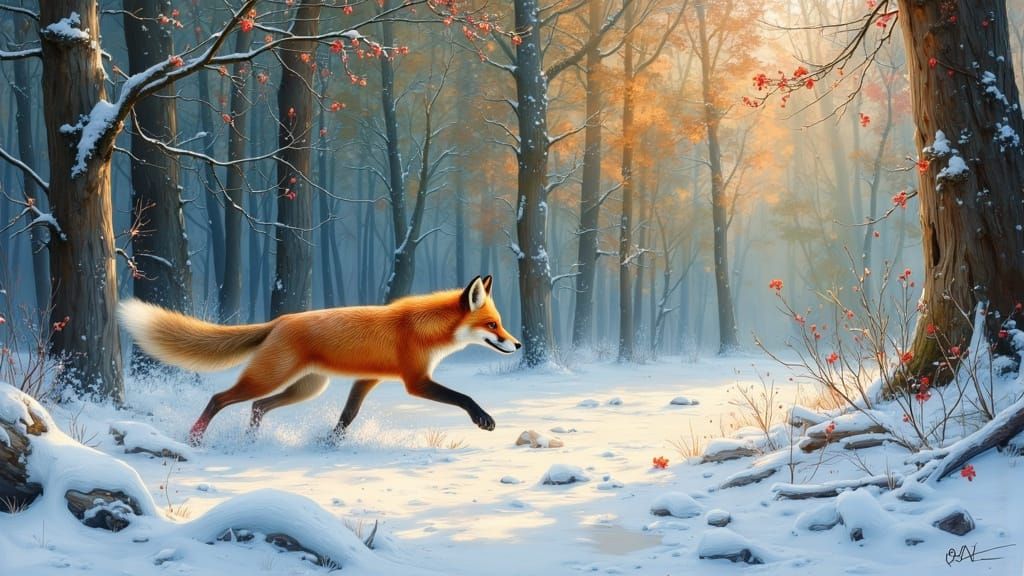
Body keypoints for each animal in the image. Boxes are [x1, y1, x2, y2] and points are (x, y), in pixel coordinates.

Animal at [118, 275, 520, 446]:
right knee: (220, 398)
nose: (516, 343)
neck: (422, 328)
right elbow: (464, 397)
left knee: (258, 407)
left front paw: (330, 442)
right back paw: (195, 437)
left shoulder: (367, 379)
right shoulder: (416, 381)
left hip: (307, 388)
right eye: (492, 325)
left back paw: (250, 441)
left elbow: (348, 416)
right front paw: (483, 419)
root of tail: (280, 320)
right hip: (269, 378)